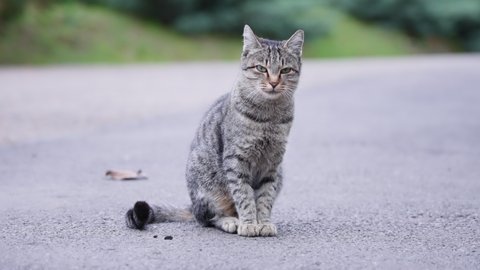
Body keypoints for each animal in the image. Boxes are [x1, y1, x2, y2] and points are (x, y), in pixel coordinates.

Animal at [124, 24, 304, 236]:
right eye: (261, 68)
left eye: (285, 70)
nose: (274, 82)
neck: (269, 116)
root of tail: (192, 206)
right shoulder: (236, 160)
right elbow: (244, 197)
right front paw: (249, 223)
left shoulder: (272, 164)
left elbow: (265, 198)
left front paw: (264, 222)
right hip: (207, 189)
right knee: (207, 218)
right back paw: (231, 221)